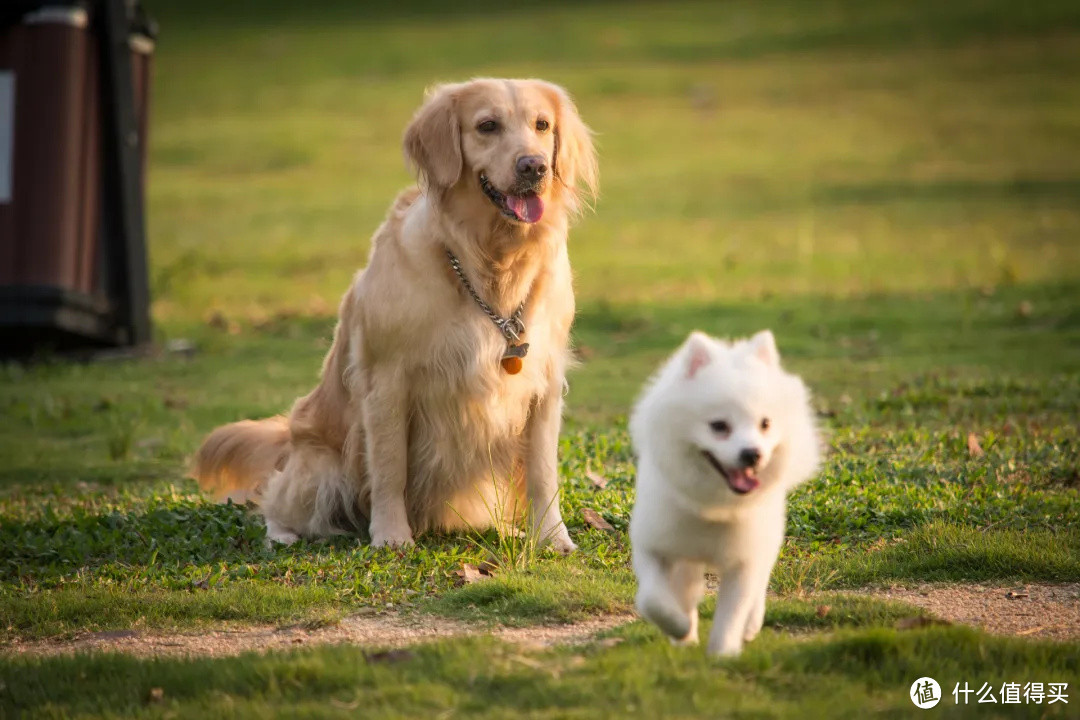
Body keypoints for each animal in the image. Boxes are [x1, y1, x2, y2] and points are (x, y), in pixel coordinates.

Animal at [626, 330, 816, 656]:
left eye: (765, 424)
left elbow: (733, 612)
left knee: (759, 585)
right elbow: (653, 600)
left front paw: (723, 654)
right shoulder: (655, 545)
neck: (714, 506)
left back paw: (751, 625)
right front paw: (680, 628)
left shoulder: (744, 559)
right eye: (719, 426)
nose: (752, 454)